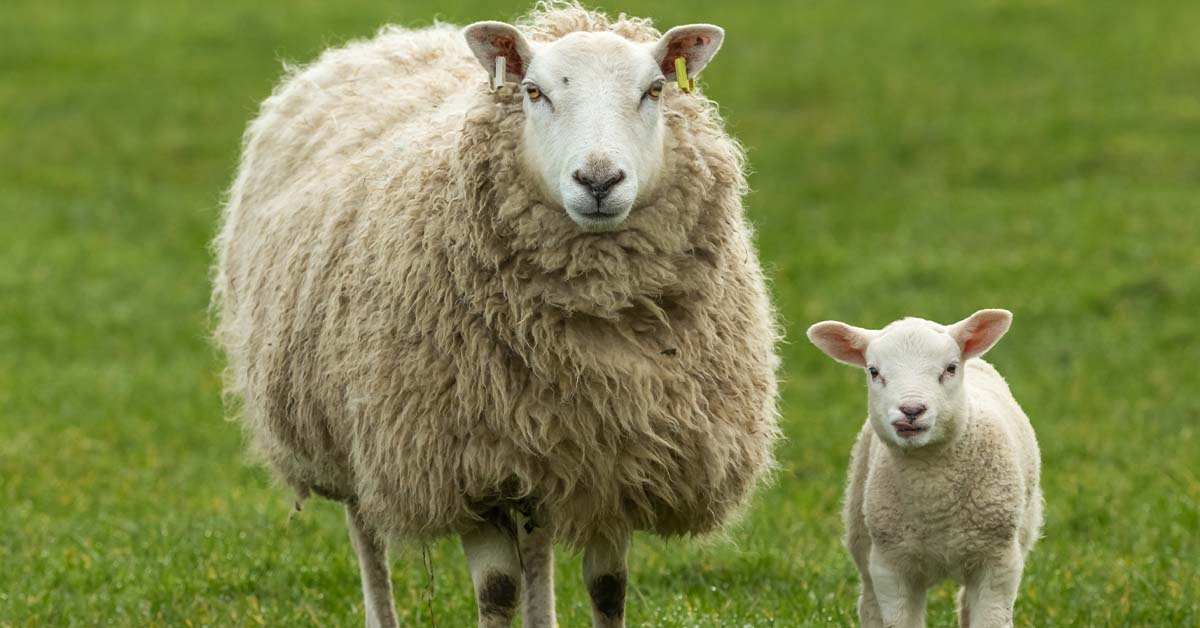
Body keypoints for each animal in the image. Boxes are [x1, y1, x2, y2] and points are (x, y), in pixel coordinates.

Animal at [210, 4, 780, 627]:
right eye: (534, 91)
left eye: (654, 90)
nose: (599, 181)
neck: (592, 339)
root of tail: (393, 38)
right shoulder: (465, 468)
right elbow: (498, 590)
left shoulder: (614, 463)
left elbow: (608, 588)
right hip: (345, 428)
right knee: (367, 533)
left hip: (537, 448)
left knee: (536, 540)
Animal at [806, 309, 1042, 628]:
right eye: (873, 371)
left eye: (950, 368)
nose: (911, 410)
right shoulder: (891, 565)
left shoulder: (999, 561)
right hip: (861, 533)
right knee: (869, 603)